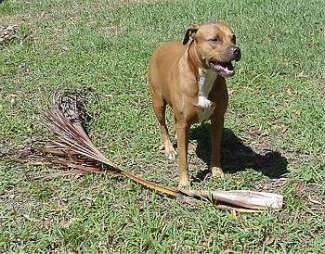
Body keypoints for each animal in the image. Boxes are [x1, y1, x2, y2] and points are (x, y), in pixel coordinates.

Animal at [148, 21, 239, 189]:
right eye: (214, 39)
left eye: (233, 38)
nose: (237, 50)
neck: (205, 75)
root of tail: (162, 46)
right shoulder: (183, 122)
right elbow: (183, 158)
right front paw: (184, 183)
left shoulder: (218, 119)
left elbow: (216, 148)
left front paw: (216, 170)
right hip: (157, 102)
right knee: (162, 125)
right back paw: (169, 148)